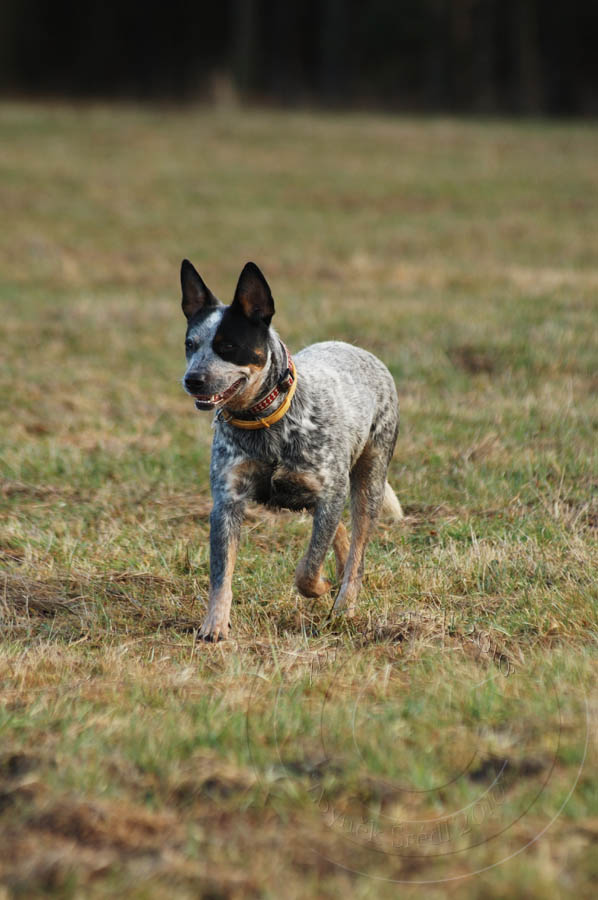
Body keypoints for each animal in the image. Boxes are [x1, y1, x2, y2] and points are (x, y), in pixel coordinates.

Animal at [179, 260, 404, 640]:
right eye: (190, 344)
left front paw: (322, 587)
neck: (265, 422)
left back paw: (344, 603)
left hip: (369, 480)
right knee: (338, 536)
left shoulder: (330, 492)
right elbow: (221, 573)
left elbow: (308, 568)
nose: (192, 379)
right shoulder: (227, 501)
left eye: (228, 345)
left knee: (356, 548)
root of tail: (359, 350)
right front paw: (214, 625)